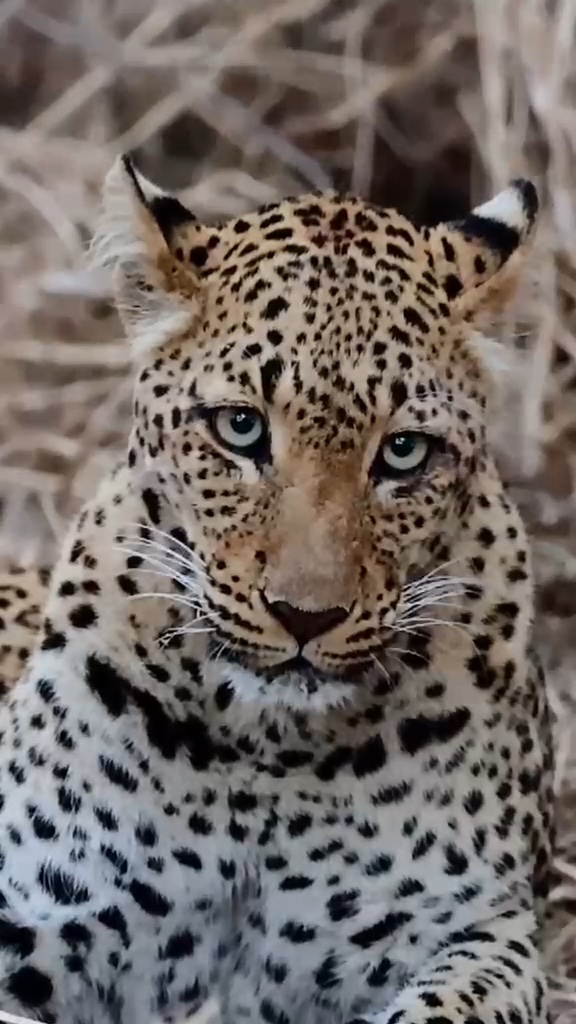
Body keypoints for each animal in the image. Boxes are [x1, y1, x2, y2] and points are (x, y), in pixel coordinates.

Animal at [0, 155, 553, 1024]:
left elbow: (448, 1005)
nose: (305, 617)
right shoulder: (41, 909)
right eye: (240, 429)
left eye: (404, 451)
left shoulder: (483, 933)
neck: (271, 748)